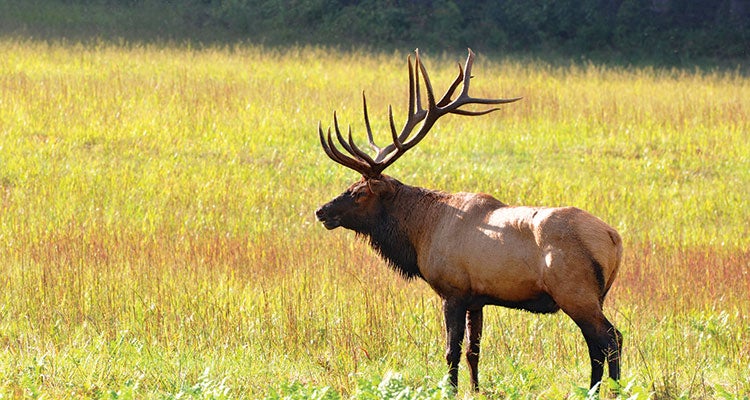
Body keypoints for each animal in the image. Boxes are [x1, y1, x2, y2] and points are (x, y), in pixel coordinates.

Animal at [314, 49, 623, 392]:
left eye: (358, 192)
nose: (322, 211)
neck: (420, 232)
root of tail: (614, 238)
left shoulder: (453, 290)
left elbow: (452, 350)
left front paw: (450, 389)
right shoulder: (478, 299)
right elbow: (474, 351)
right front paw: (476, 389)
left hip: (575, 291)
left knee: (611, 338)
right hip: (594, 296)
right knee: (596, 345)